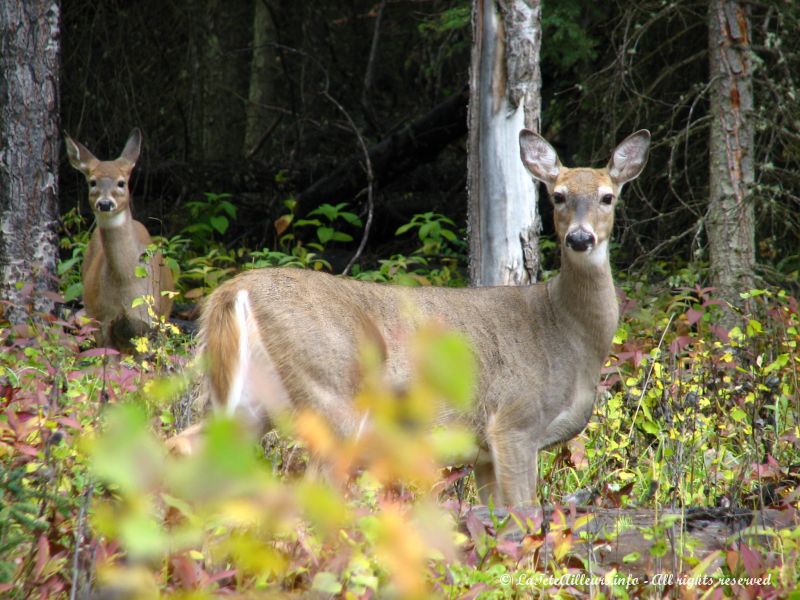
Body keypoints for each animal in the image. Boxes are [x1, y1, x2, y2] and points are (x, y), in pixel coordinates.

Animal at [65, 127, 173, 352]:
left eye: (121, 183)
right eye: (92, 182)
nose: (105, 203)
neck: (126, 283)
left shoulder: (150, 323)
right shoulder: (104, 322)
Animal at [189, 127, 648, 506]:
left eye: (608, 197)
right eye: (558, 195)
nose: (580, 238)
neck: (569, 333)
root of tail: (233, 290)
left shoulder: (484, 452)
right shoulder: (514, 421)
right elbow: (524, 514)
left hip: (245, 401)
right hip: (330, 391)